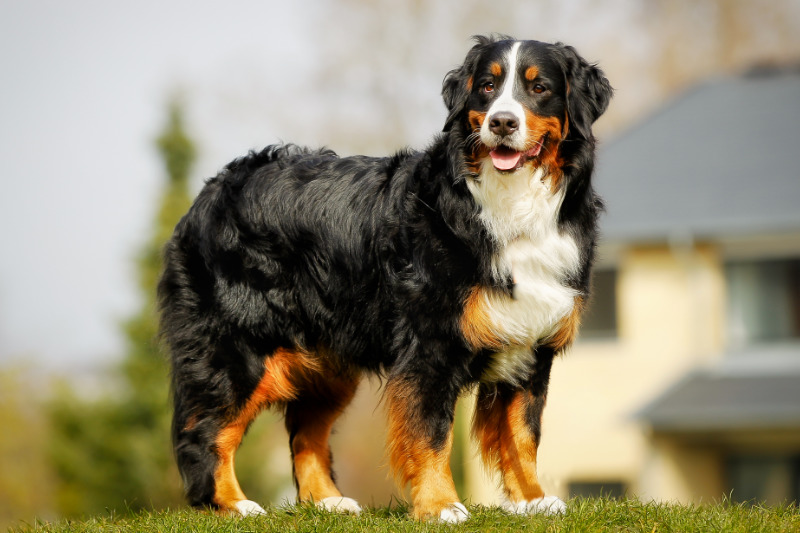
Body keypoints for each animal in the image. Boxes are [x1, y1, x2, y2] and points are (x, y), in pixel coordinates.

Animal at [158, 33, 612, 520]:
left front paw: (532, 500)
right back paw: (232, 505)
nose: (503, 122)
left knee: (306, 431)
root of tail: (213, 189)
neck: (510, 205)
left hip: (328, 361)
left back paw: (328, 501)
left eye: (539, 87)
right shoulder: (429, 345)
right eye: (487, 87)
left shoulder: (531, 343)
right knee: (205, 432)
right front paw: (440, 506)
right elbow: (431, 432)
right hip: (238, 349)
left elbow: (524, 433)